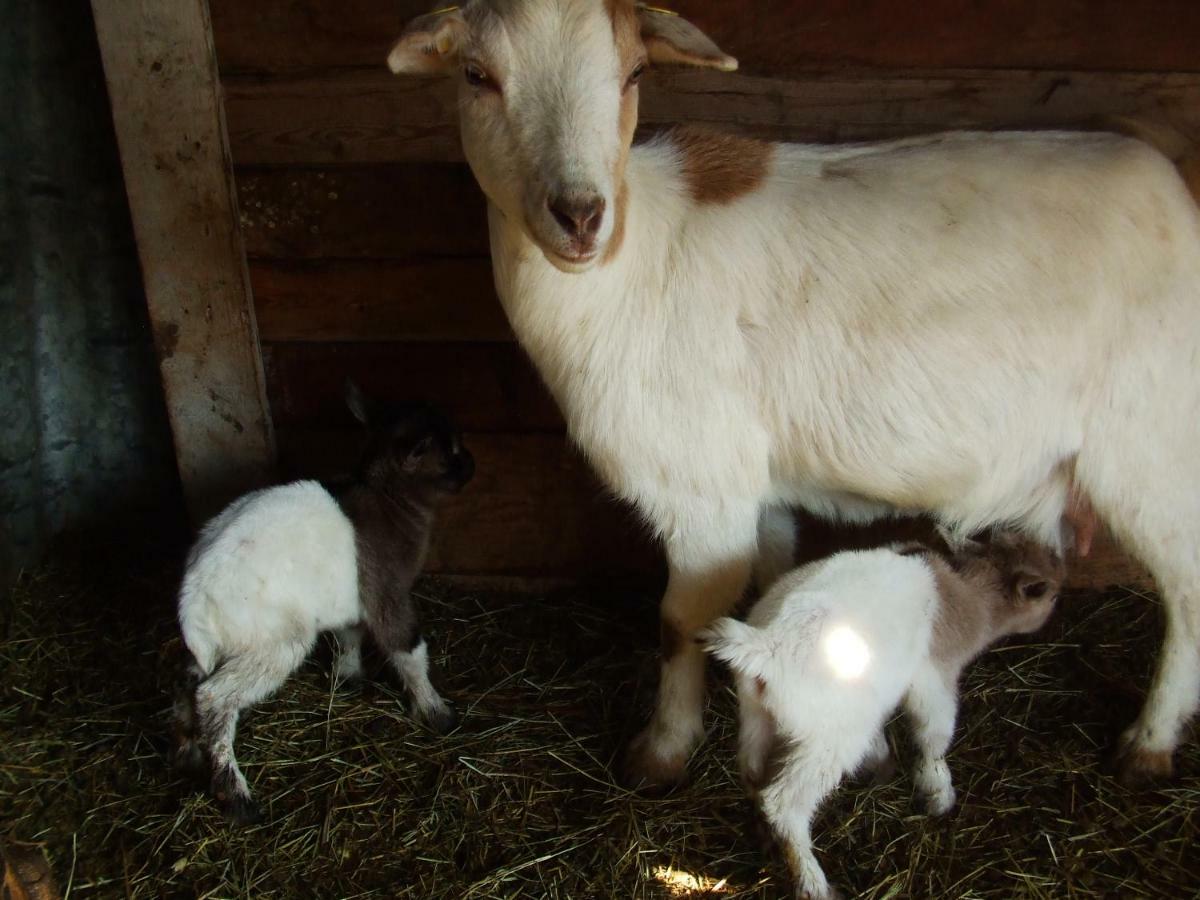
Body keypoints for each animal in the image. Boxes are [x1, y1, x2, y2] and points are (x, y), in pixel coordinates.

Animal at [174, 381, 472, 825]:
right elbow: (407, 649)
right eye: (449, 449)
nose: (472, 464)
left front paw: (348, 677)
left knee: (187, 684)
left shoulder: (351, 598)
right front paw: (436, 712)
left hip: (217, 648)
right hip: (274, 640)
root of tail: (193, 601)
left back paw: (190, 755)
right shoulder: (387, 593)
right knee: (214, 696)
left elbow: (349, 634)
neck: (390, 503)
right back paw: (236, 795)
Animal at [391, 0, 1200, 787]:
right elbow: (778, 583)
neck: (624, 270)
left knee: (1189, 591)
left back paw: (1148, 745)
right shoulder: (762, 485)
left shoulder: (704, 489)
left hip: (1151, 445)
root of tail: (1174, 189)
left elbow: (680, 620)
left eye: (633, 74)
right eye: (476, 75)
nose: (581, 214)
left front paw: (661, 754)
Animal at [700, 532, 1070, 897]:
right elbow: (934, 732)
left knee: (752, 773)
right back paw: (814, 883)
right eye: (1052, 595)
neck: (968, 595)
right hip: (831, 739)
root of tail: (767, 645)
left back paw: (767, 841)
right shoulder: (931, 679)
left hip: (757, 715)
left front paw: (883, 768)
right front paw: (938, 793)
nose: (1052, 621)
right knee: (783, 803)